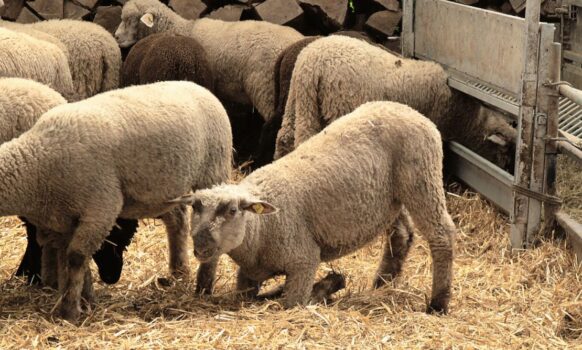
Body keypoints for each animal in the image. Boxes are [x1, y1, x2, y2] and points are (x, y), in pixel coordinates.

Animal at [0, 81, 233, 320]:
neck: (37, 163)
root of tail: (195, 85)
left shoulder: (101, 208)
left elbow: (76, 257)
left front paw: (70, 311)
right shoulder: (65, 219)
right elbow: (70, 261)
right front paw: (84, 301)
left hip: (212, 172)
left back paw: (204, 286)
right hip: (168, 189)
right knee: (177, 222)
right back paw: (179, 272)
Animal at [182, 102, 456, 314]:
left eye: (232, 210)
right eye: (195, 207)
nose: (201, 246)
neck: (260, 228)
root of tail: (413, 112)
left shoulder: (303, 262)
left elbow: (292, 303)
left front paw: (327, 287)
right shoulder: (248, 276)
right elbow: (250, 296)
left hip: (422, 178)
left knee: (442, 234)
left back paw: (438, 304)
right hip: (392, 198)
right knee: (401, 235)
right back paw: (382, 285)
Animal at [276, 35, 516, 171]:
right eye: (505, 154)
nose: (506, 169)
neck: (468, 119)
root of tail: (310, 62)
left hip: (297, 100)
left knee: (284, 138)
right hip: (336, 107)